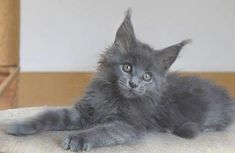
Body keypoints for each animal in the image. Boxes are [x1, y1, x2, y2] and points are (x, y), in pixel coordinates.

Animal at [4, 9, 234, 152]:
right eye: (127, 67)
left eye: (147, 76)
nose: (134, 84)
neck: (112, 97)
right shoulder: (85, 110)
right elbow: (48, 115)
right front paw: (16, 125)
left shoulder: (129, 125)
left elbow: (103, 130)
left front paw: (79, 138)